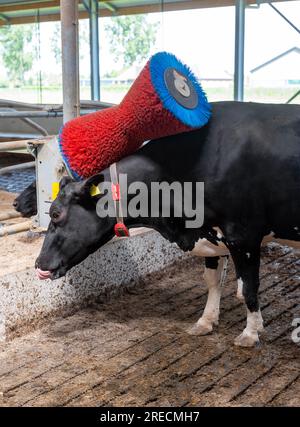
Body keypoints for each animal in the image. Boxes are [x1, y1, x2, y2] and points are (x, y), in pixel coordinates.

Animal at [33, 102, 300, 350]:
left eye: (55, 214)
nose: (38, 264)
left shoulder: (244, 236)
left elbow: (247, 288)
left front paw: (250, 333)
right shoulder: (209, 235)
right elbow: (213, 280)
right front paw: (206, 321)